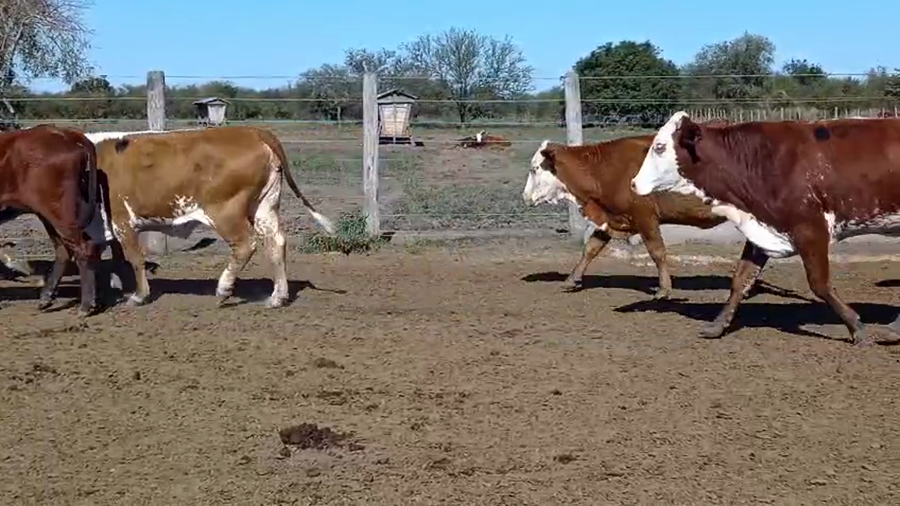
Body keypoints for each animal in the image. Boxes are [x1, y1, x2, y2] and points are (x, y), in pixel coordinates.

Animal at [0, 125, 100, 315]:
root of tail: (64, 133)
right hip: (48, 214)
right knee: (63, 250)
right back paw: (47, 297)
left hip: (59, 212)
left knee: (82, 248)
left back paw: (86, 305)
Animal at [93, 126, 336, 308]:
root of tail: (252, 131)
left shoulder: (122, 222)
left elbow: (134, 258)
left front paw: (139, 295)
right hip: (265, 206)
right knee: (276, 242)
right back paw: (277, 297)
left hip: (224, 212)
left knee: (246, 244)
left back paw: (224, 288)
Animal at [523, 135, 748, 298]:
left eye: (534, 169)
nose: (524, 197)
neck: (604, 168)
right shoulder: (612, 217)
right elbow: (591, 248)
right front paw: (571, 279)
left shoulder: (645, 217)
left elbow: (657, 252)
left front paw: (664, 289)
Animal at [630, 111, 900, 346]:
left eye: (660, 147)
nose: (633, 183)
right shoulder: (761, 229)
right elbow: (740, 279)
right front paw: (717, 325)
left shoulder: (810, 229)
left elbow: (819, 284)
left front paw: (857, 328)